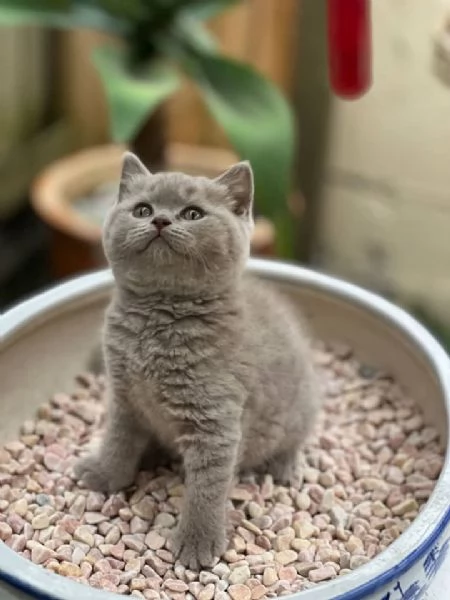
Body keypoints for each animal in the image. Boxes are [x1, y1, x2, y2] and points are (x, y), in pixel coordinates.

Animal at [74, 152, 320, 568]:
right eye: (142, 209)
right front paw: (104, 474)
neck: (156, 324)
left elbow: (206, 488)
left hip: (298, 409)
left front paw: (197, 543)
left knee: (293, 439)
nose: (160, 220)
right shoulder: (124, 397)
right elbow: (119, 441)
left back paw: (285, 466)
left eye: (192, 214)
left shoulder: (214, 422)